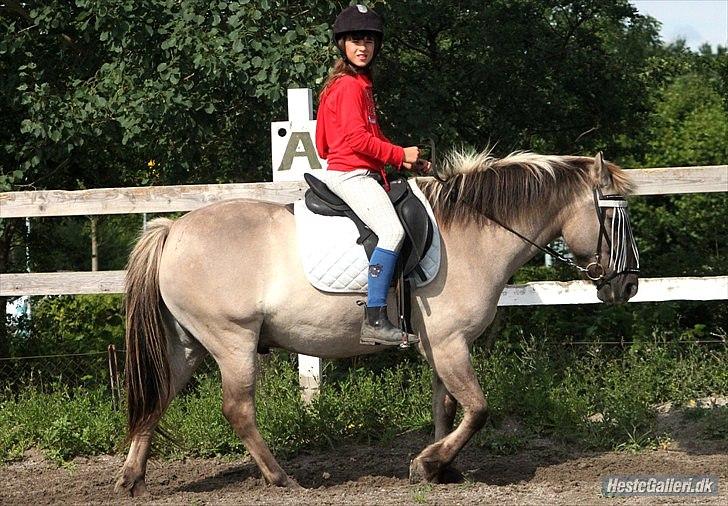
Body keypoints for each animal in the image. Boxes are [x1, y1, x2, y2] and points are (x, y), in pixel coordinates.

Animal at [112, 148, 636, 496]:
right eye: (614, 219)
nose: (628, 286)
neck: (473, 232)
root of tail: (172, 229)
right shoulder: (451, 343)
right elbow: (478, 409)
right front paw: (430, 462)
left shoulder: (441, 347)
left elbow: (447, 407)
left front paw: (439, 467)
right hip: (232, 341)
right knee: (238, 410)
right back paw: (281, 477)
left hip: (189, 343)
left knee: (157, 397)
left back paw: (132, 477)